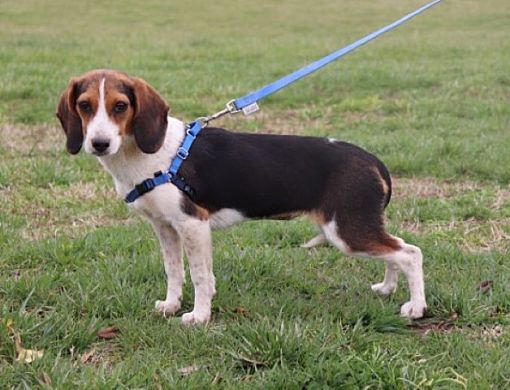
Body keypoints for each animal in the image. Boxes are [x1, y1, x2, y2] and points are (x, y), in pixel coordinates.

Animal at [56, 69, 426, 322]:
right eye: (84, 106)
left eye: (120, 106)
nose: (99, 143)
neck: (150, 155)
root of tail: (372, 160)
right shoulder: (165, 227)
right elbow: (175, 272)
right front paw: (172, 306)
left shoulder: (193, 224)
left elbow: (200, 277)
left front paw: (198, 317)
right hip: (358, 227)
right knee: (397, 250)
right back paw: (387, 288)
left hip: (346, 231)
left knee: (410, 253)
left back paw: (416, 308)